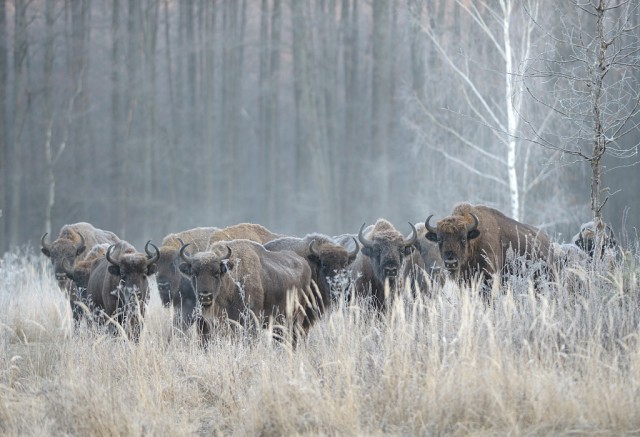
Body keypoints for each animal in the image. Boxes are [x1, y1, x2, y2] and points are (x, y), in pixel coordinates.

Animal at [178, 237, 318, 346]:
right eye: (194, 274)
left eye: (216, 273)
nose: (205, 296)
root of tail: (305, 264)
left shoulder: (250, 320)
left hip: (297, 316)